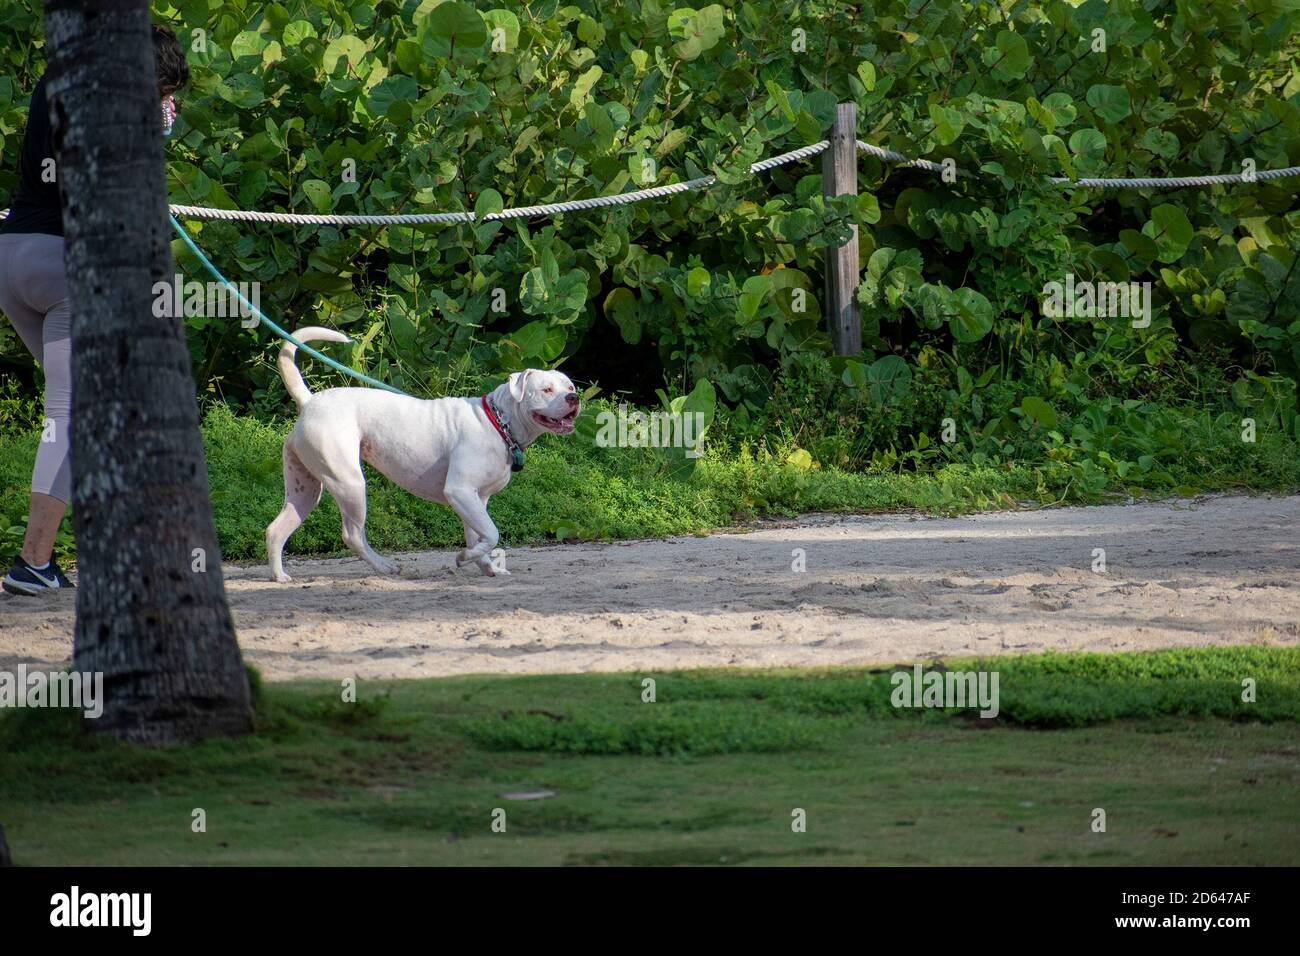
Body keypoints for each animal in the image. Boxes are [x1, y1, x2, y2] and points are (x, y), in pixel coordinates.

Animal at [263, 327, 579, 582]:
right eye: (546, 389)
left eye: (570, 386)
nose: (574, 398)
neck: (498, 422)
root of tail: (309, 401)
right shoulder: (460, 491)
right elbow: (491, 534)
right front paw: (464, 558)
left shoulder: (475, 499)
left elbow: (479, 537)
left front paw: (486, 567)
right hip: (348, 482)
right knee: (352, 535)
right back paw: (385, 567)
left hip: (304, 490)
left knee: (275, 529)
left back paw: (280, 576)